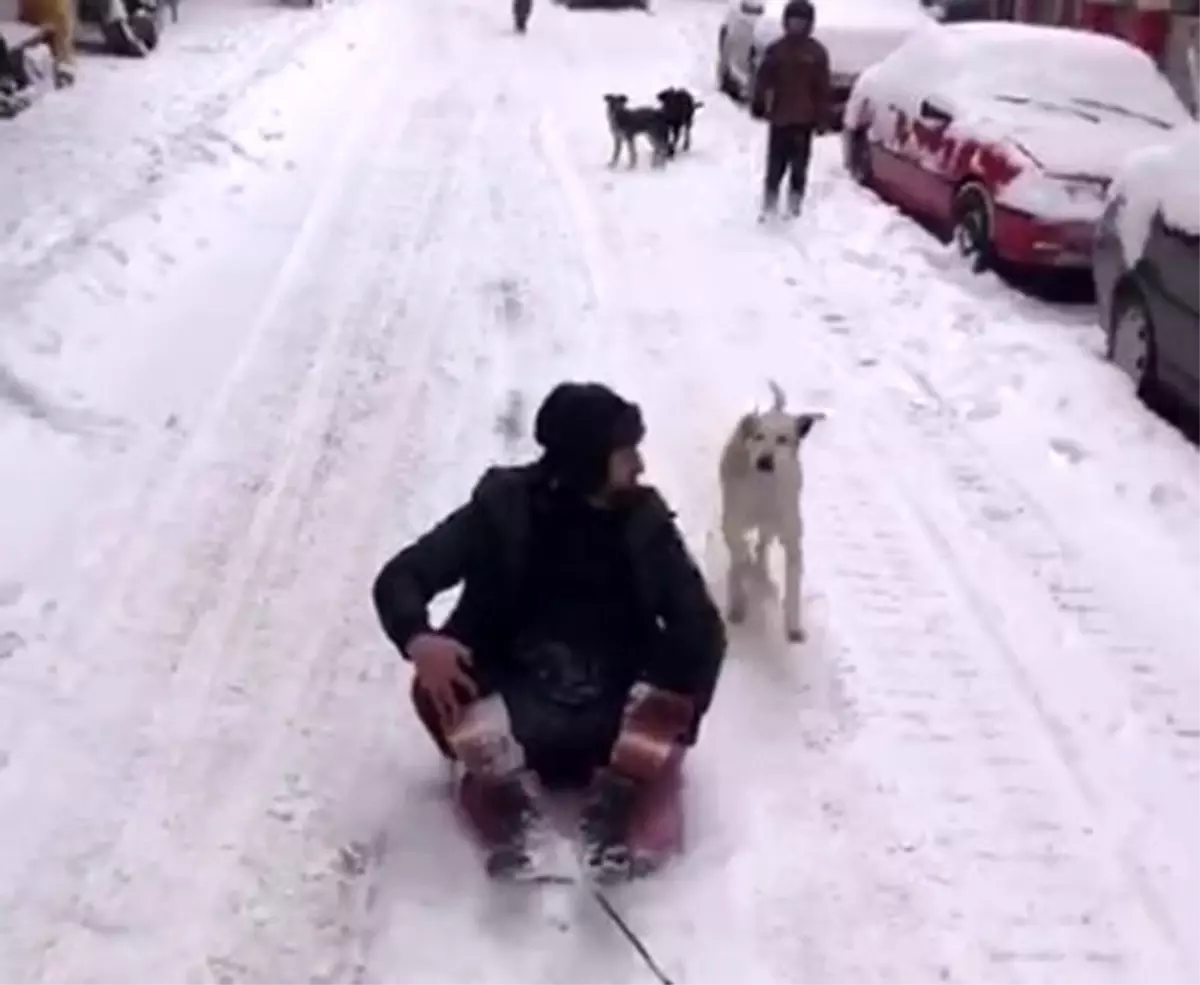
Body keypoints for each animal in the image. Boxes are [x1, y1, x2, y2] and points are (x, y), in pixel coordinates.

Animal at [715, 381, 820, 643]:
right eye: (758, 436)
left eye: (783, 439)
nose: (764, 461)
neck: (765, 490)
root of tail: (774, 409)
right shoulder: (732, 524)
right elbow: (738, 555)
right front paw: (738, 601)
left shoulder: (792, 540)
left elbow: (793, 584)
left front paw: (793, 626)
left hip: (773, 525)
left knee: (763, 542)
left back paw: (760, 565)